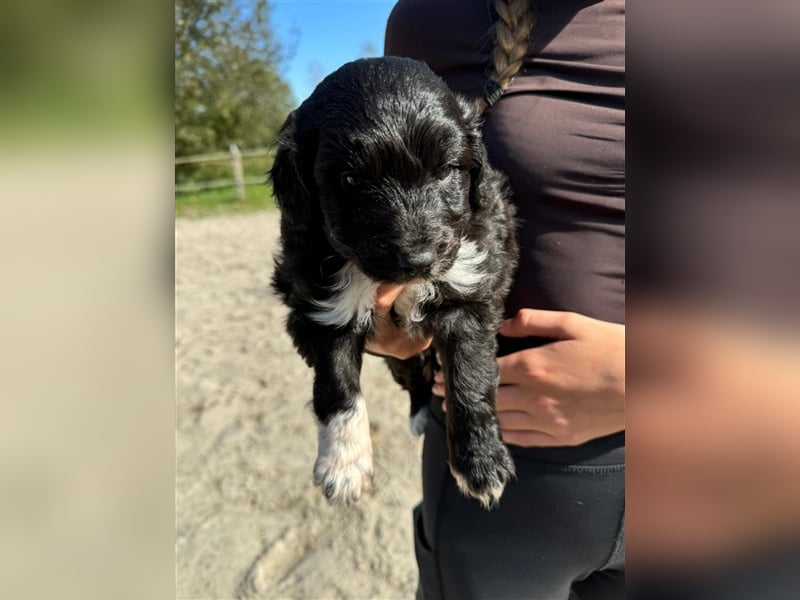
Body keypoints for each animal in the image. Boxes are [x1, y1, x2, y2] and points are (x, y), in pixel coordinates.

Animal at [268, 56, 520, 508]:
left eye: (445, 170)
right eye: (351, 180)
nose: (418, 260)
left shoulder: (470, 296)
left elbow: (470, 381)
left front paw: (481, 462)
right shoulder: (322, 309)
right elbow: (337, 389)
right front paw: (344, 467)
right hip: (400, 360)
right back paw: (418, 414)